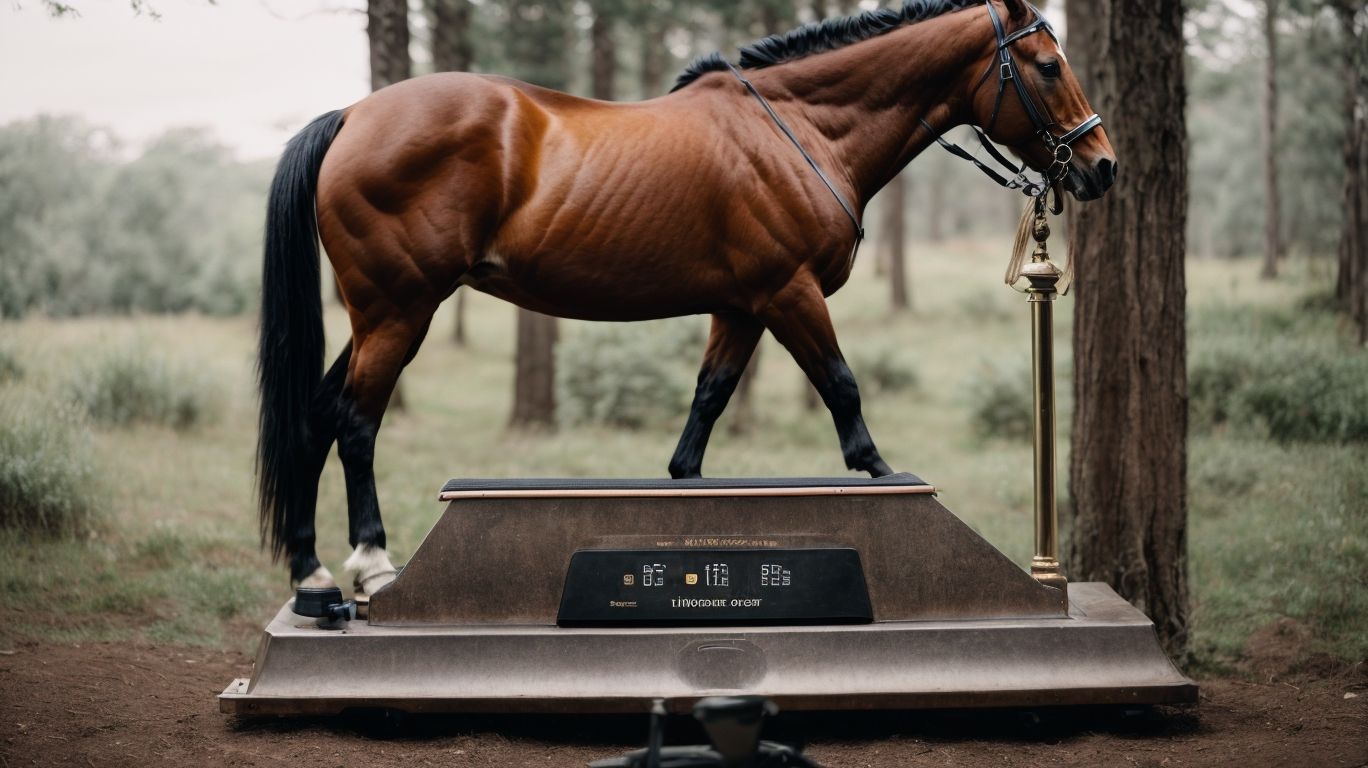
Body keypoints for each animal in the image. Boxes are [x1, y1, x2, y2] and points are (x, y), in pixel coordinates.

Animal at [256, 0, 1117, 597]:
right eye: (1046, 64)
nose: (1102, 166)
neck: (801, 131)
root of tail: (354, 116)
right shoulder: (790, 294)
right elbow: (842, 388)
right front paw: (883, 476)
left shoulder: (740, 308)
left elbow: (706, 407)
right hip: (399, 309)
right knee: (355, 422)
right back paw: (371, 564)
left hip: (377, 314)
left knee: (313, 415)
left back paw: (312, 578)